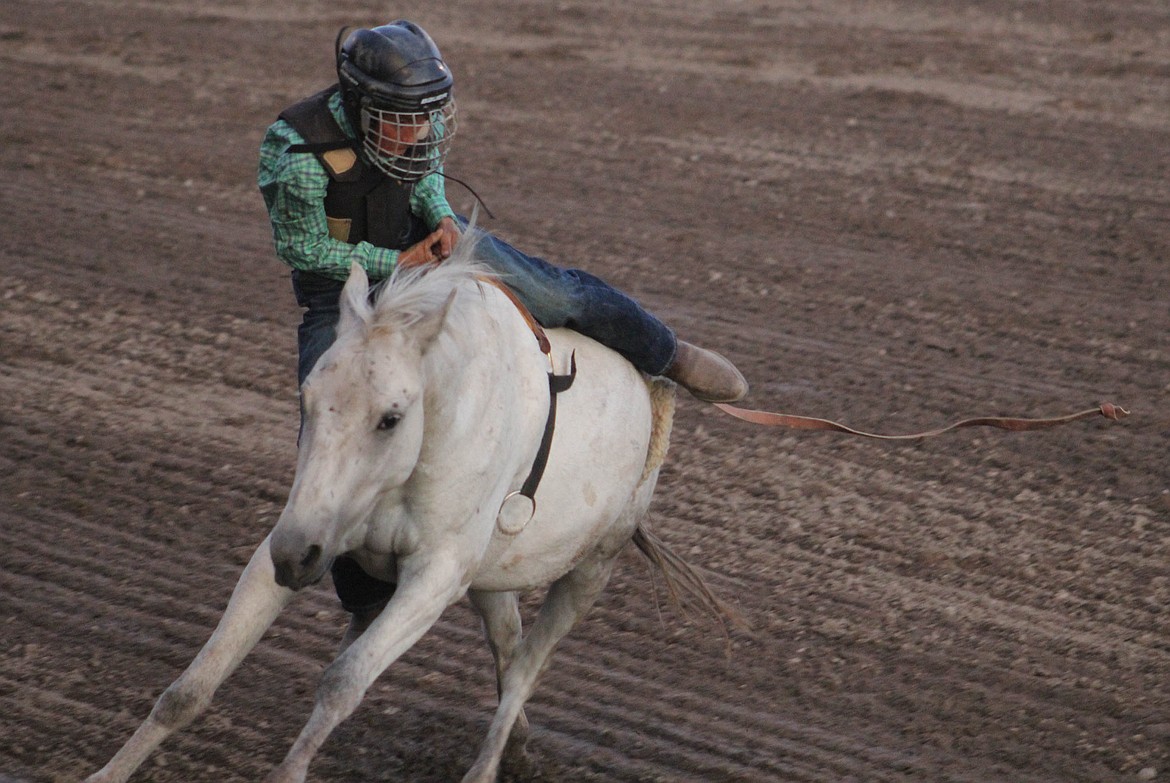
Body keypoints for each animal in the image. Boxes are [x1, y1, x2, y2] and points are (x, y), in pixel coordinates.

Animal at [82, 236, 716, 781]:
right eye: (306, 398)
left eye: (390, 417)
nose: (297, 557)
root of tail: (648, 389)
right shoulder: (293, 537)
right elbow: (192, 685)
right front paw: (109, 772)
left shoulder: (434, 578)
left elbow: (344, 679)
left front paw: (289, 772)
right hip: (491, 576)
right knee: (508, 650)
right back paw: (517, 751)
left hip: (592, 568)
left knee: (525, 671)